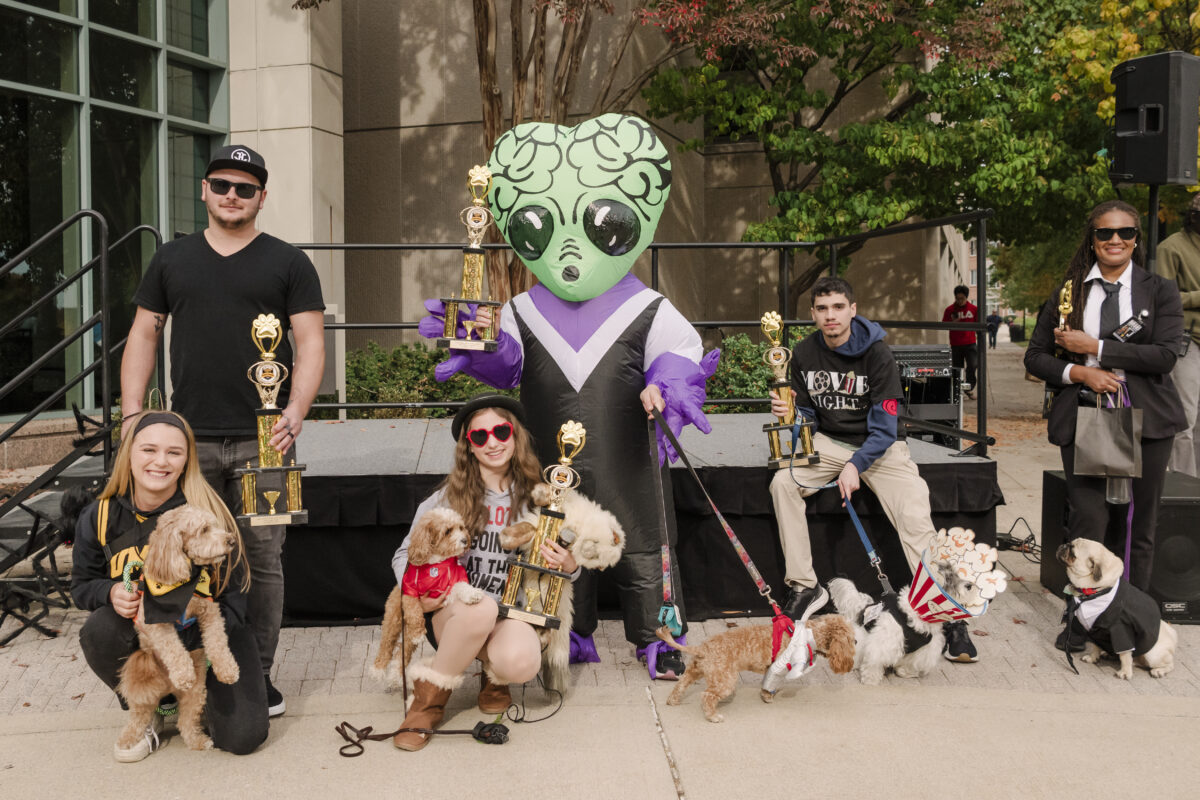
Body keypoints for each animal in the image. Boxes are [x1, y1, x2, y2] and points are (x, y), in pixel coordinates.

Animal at [115, 506, 240, 758]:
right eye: (204, 529)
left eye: (215, 524)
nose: (231, 540)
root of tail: (168, 689)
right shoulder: (153, 622)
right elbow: (172, 646)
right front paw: (183, 673)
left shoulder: (210, 611)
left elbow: (217, 641)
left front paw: (227, 669)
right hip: (145, 686)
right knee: (138, 717)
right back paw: (127, 741)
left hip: (196, 693)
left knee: (185, 721)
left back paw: (199, 741)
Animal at [369, 506, 482, 690]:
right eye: (447, 531)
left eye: (460, 527)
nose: (465, 540)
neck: (435, 564)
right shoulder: (409, 593)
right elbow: (414, 610)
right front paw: (418, 630)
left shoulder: (448, 585)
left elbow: (461, 586)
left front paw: (472, 594)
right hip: (393, 620)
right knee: (386, 645)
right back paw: (377, 670)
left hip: (405, 635)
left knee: (402, 652)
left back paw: (396, 676)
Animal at [652, 618, 859, 724]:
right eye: (850, 638)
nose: (857, 642)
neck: (809, 634)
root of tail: (703, 647)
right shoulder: (778, 667)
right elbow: (771, 684)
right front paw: (769, 696)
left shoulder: (771, 669)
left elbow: (767, 684)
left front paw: (766, 695)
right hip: (725, 680)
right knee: (707, 696)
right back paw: (713, 716)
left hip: (695, 671)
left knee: (681, 685)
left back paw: (673, 700)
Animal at [1056, 537, 1176, 681]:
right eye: (1069, 544)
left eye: (1073, 552)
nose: (1063, 545)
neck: (1096, 591)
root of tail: (1172, 635)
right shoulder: (1096, 630)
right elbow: (1096, 646)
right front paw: (1093, 657)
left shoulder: (1121, 631)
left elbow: (1125, 655)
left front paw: (1125, 672)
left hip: (1153, 655)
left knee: (1168, 664)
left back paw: (1159, 670)